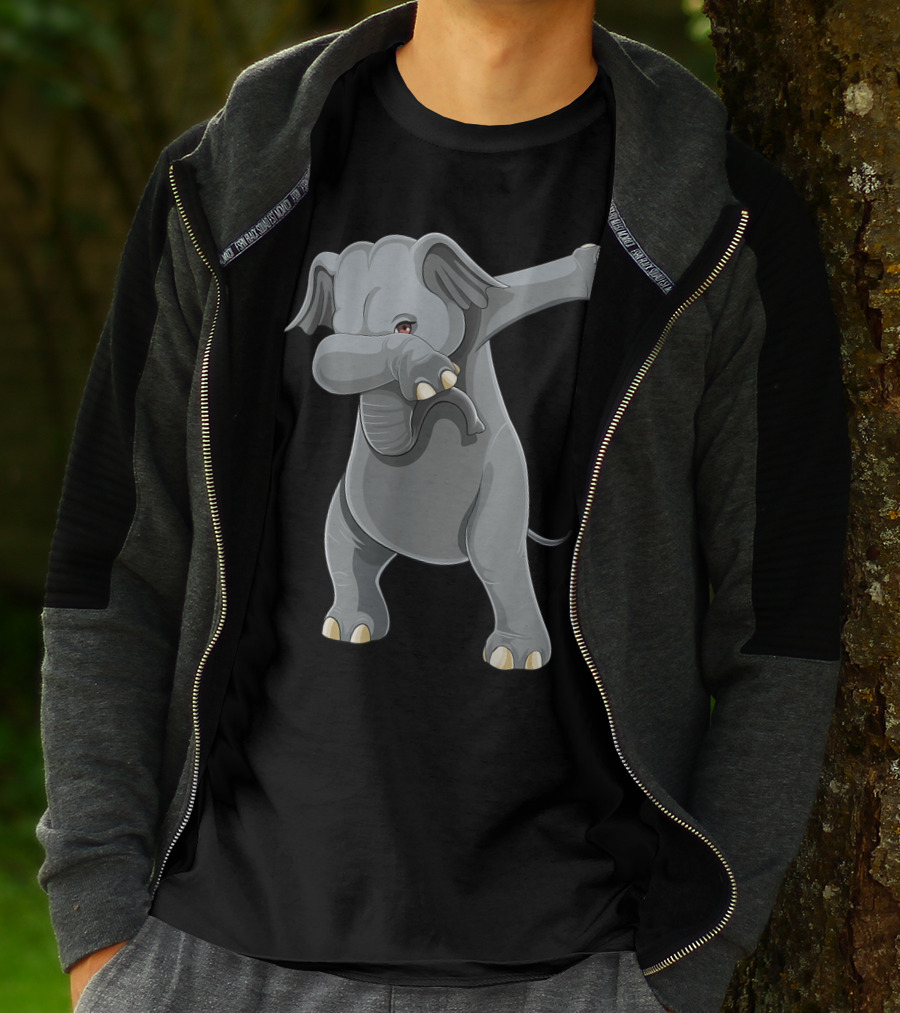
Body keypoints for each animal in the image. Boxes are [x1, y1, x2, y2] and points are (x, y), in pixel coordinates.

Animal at [285, 232, 600, 671]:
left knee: (489, 548)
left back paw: (512, 657)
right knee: (345, 545)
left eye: (406, 325)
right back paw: (349, 630)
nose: (474, 424)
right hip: (348, 506)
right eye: (342, 328)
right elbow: (325, 359)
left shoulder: (492, 307)